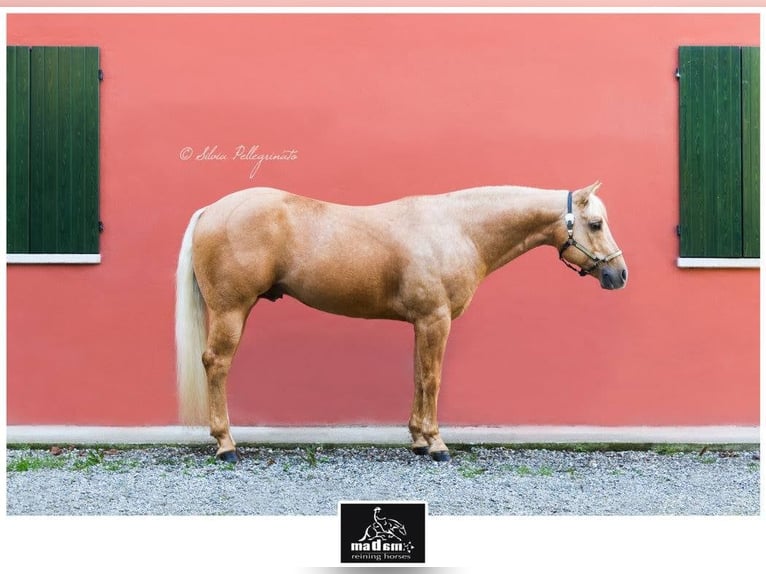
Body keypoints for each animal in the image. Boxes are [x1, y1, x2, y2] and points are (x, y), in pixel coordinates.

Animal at [175, 182, 627, 463]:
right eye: (596, 223)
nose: (618, 274)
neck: (459, 229)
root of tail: (211, 210)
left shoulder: (421, 323)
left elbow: (416, 377)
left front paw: (416, 440)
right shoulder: (436, 320)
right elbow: (432, 379)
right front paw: (437, 444)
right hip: (232, 311)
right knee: (217, 364)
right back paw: (226, 445)